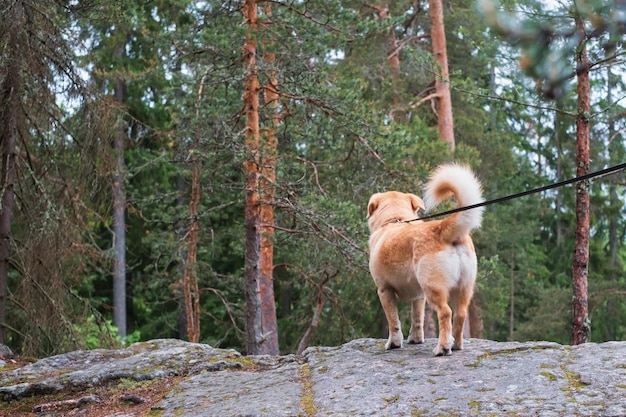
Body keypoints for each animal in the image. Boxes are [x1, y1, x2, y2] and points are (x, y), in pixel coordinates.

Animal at [366, 162, 482, 354]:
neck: (395, 220)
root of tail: (443, 227)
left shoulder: (384, 290)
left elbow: (393, 321)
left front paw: (394, 343)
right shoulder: (419, 296)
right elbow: (417, 319)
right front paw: (416, 339)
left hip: (433, 287)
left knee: (445, 313)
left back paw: (442, 348)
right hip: (464, 288)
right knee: (460, 314)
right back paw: (456, 345)